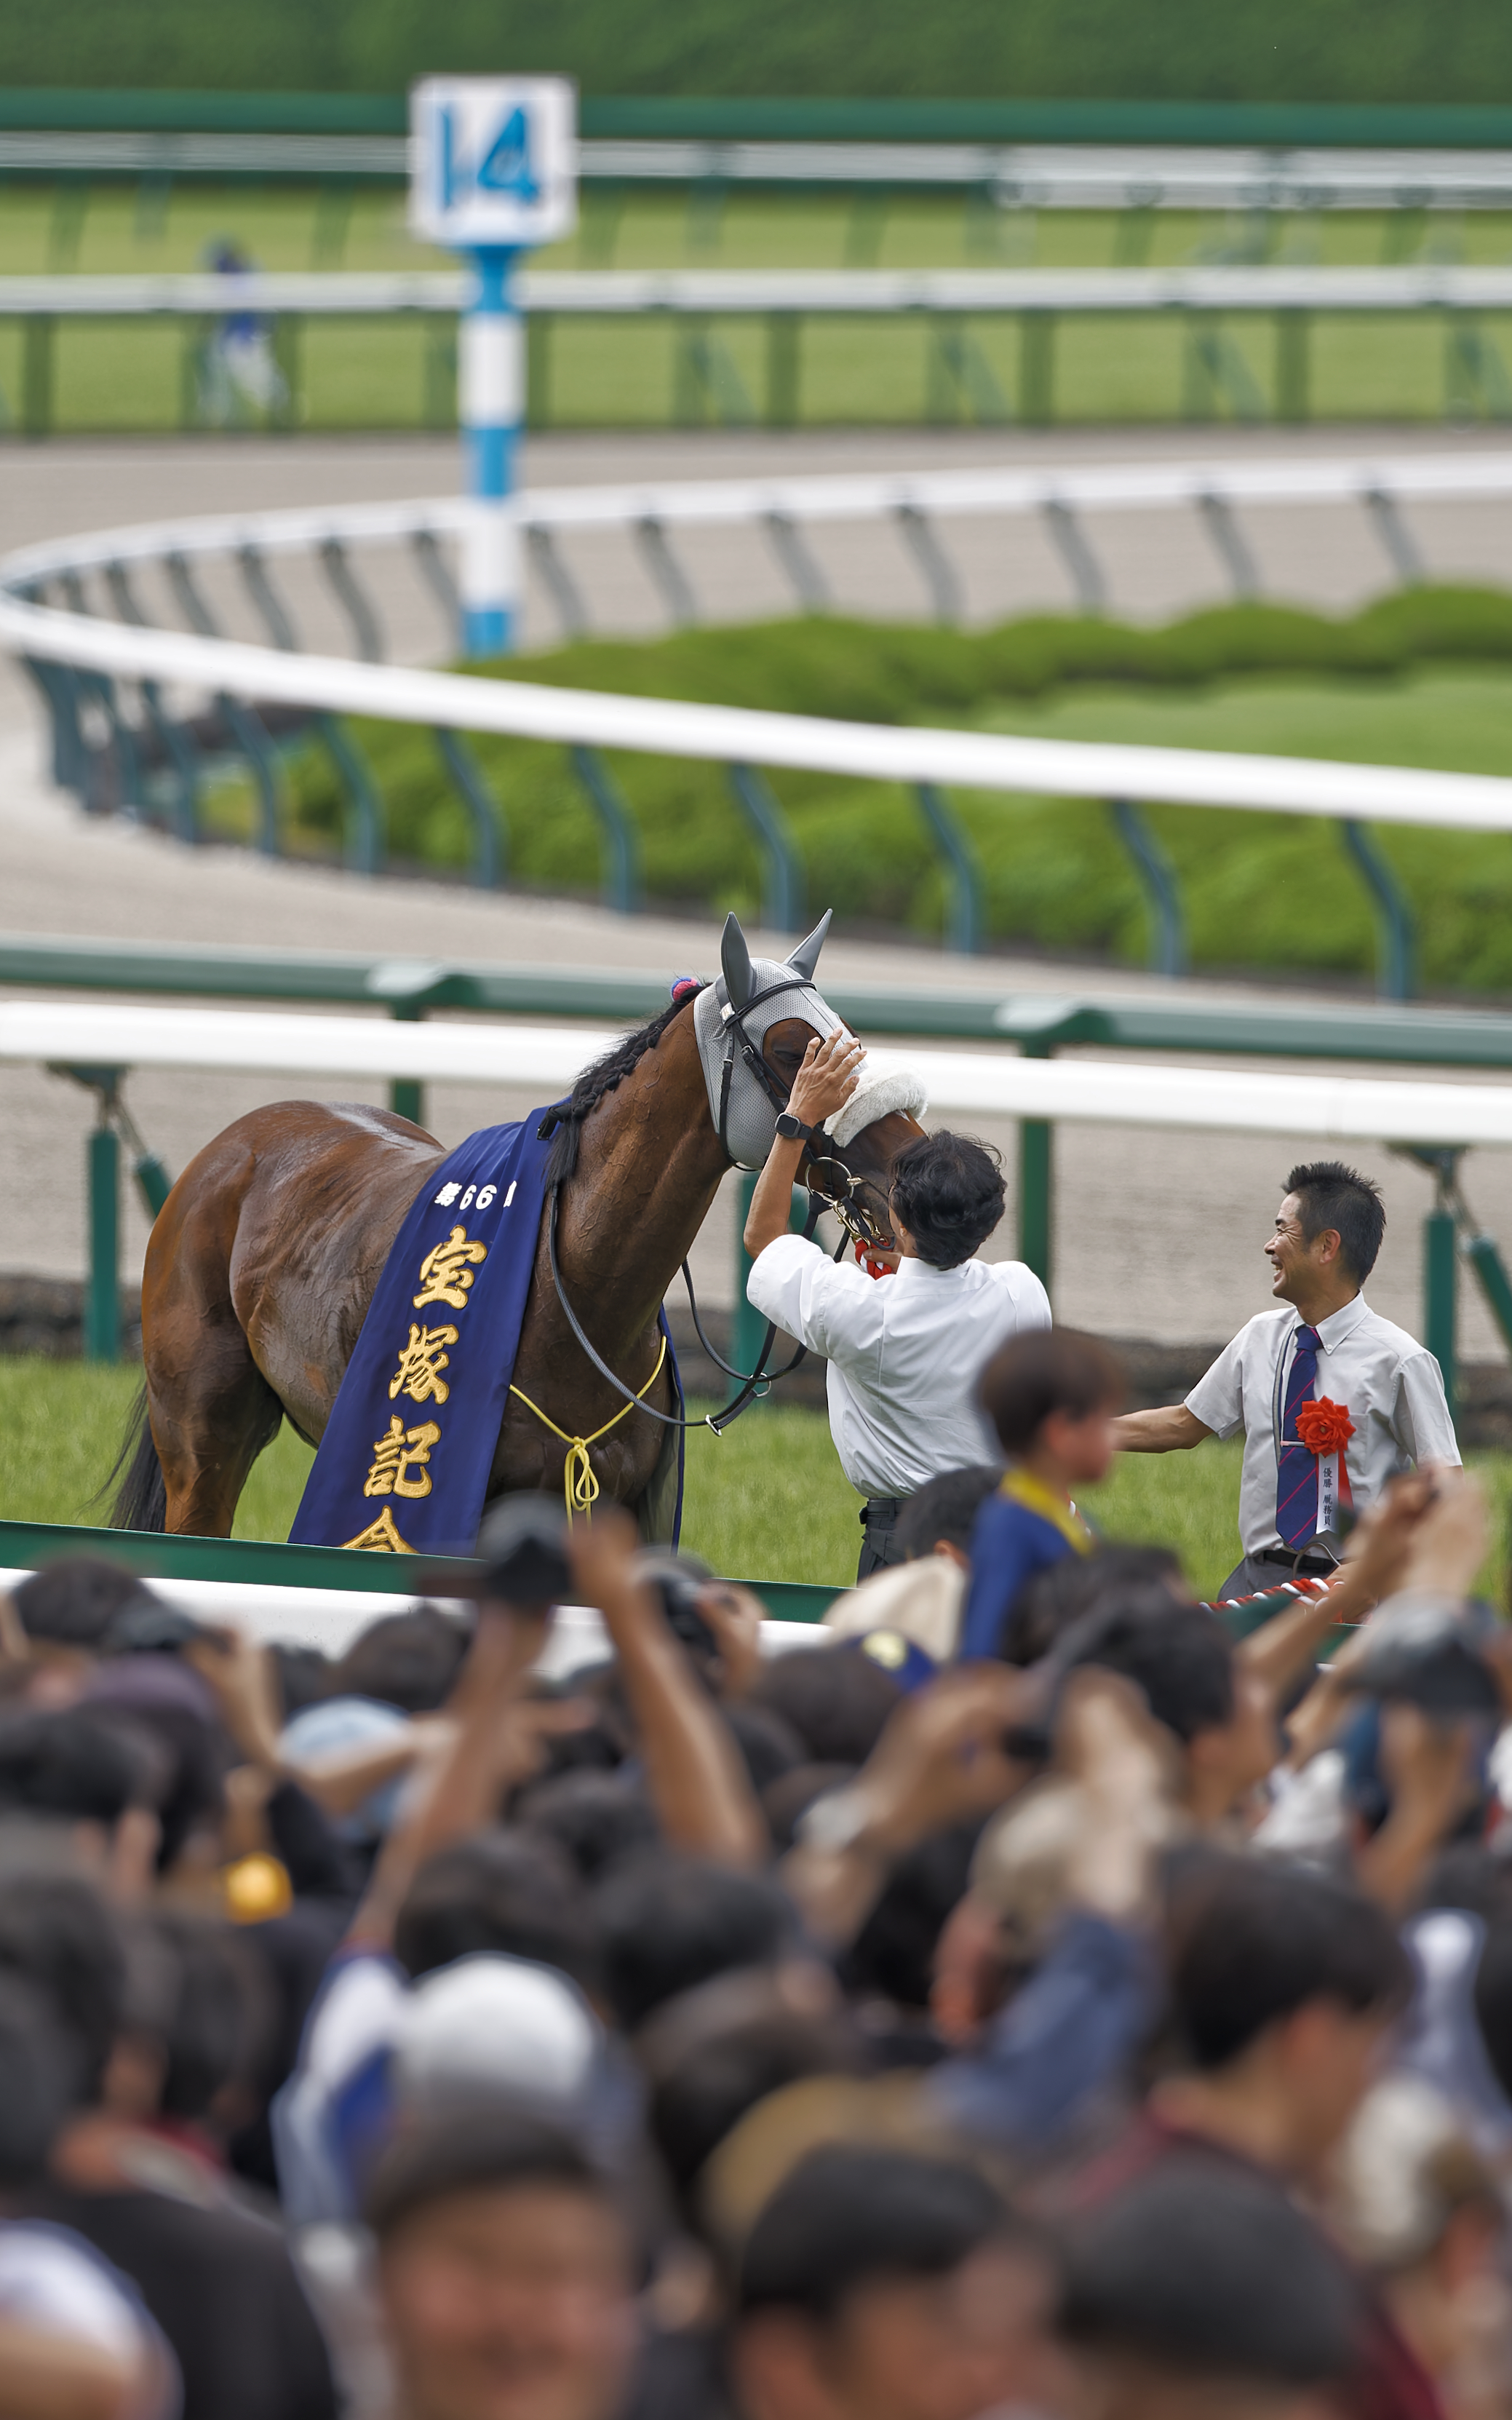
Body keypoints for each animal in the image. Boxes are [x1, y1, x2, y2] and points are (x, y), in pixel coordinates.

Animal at [110, 910, 927, 1540]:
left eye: (850, 1038)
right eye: (793, 1051)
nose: (910, 1161)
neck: (570, 1289)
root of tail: (232, 1146)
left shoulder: (607, 1506)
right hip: (202, 1440)